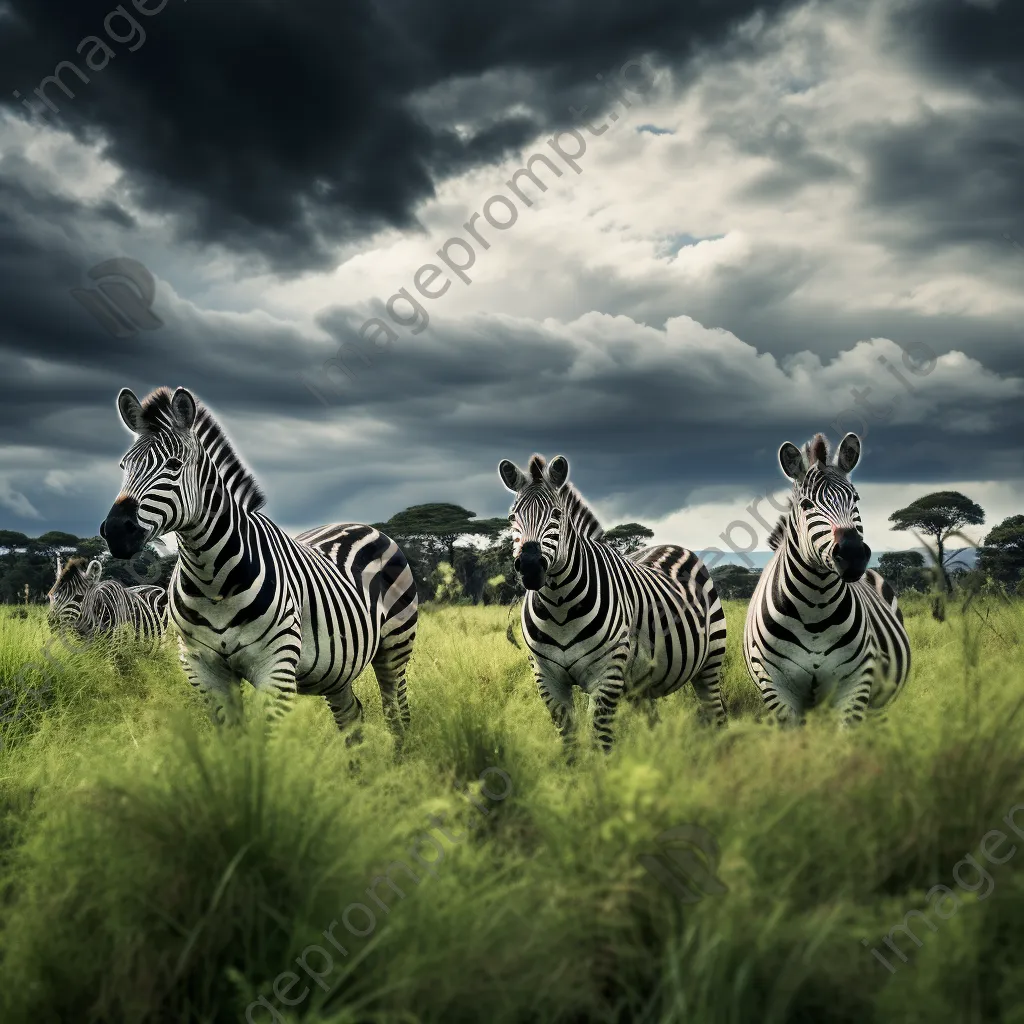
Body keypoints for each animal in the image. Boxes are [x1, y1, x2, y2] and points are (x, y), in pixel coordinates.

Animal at [96, 385, 415, 737]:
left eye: (174, 464)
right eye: (124, 466)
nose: (116, 531)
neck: (211, 580)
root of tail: (361, 525)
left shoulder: (275, 667)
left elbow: (267, 742)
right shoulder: (203, 669)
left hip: (395, 648)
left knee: (397, 714)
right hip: (337, 668)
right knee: (351, 716)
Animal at [497, 454, 729, 753]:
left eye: (557, 515)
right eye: (512, 518)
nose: (529, 567)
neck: (559, 608)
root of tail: (675, 546)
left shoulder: (606, 676)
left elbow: (601, 742)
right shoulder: (546, 677)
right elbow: (569, 742)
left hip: (711, 662)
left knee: (716, 713)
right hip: (642, 683)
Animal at [745, 432, 913, 729]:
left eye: (855, 498)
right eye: (806, 505)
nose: (853, 554)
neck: (815, 608)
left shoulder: (855, 684)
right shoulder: (777, 689)